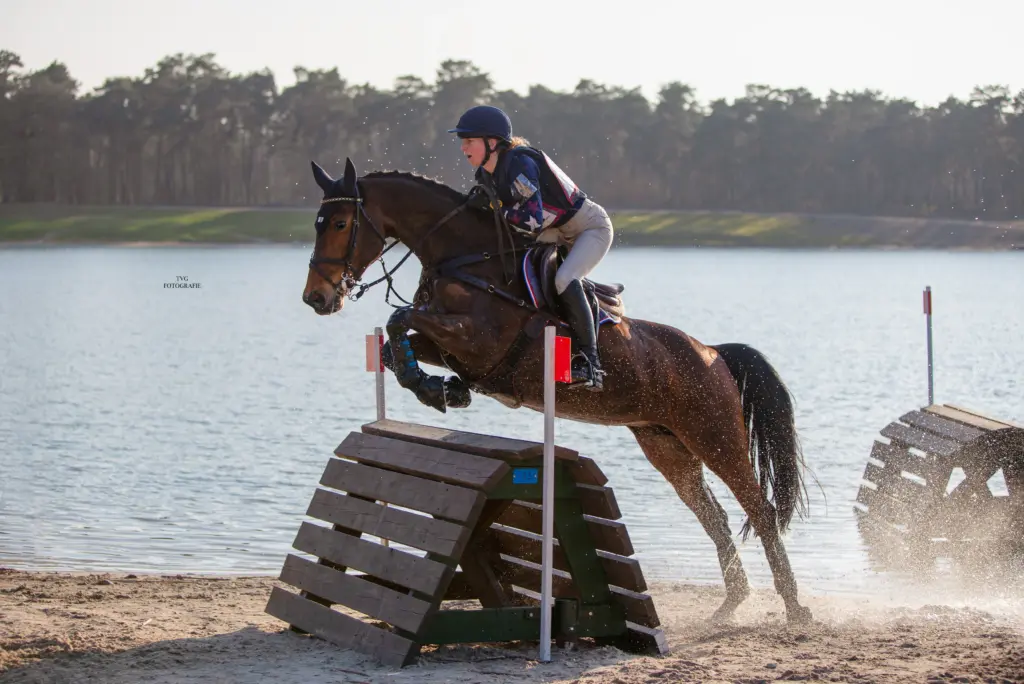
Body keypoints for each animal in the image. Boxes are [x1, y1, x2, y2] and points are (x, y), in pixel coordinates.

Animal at [299, 157, 811, 622]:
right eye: (317, 223)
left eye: (340, 223)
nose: (316, 299)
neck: (466, 258)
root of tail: (713, 353)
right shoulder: (449, 344)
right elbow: (395, 342)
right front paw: (439, 388)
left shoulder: (479, 340)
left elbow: (400, 318)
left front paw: (435, 388)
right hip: (667, 446)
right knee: (714, 516)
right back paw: (732, 604)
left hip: (715, 436)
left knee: (760, 511)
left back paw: (794, 608)